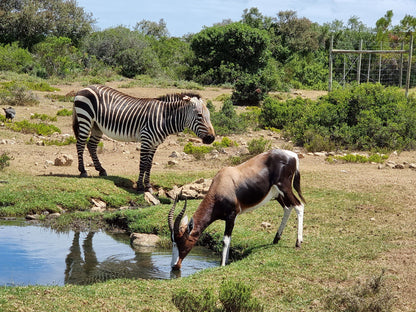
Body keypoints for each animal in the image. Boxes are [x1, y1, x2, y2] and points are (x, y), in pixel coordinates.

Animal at [72, 84, 214, 190]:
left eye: (209, 115)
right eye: (200, 115)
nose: (211, 138)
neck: (163, 118)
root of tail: (85, 87)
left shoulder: (154, 143)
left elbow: (149, 165)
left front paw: (148, 185)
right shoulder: (146, 139)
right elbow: (142, 164)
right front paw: (140, 186)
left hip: (97, 126)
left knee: (91, 145)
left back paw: (101, 170)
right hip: (85, 118)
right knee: (80, 144)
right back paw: (83, 171)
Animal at [167, 148, 304, 268]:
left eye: (180, 240)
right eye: (172, 240)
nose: (174, 266)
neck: (222, 182)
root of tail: (292, 155)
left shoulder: (231, 216)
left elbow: (225, 240)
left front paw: (222, 265)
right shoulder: (232, 218)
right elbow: (229, 238)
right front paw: (226, 262)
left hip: (284, 188)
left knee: (299, 205)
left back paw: (298, 242)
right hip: (277, 194)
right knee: (288, 208)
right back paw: (276, 239)